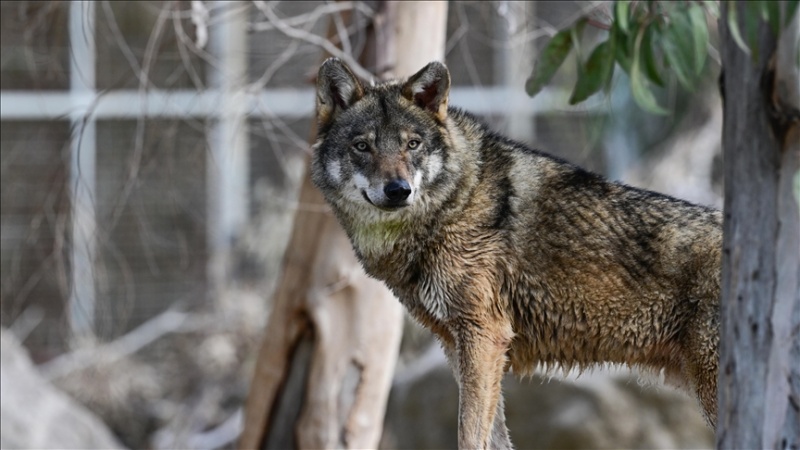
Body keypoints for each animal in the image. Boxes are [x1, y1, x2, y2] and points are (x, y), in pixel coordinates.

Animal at [311, 58, 721, 449]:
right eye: (362, 146)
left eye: (412, 144)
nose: (398, 190)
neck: (456, 202)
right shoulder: (460, 345)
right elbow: (495, 437)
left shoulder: (484, 336)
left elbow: (469, 434)